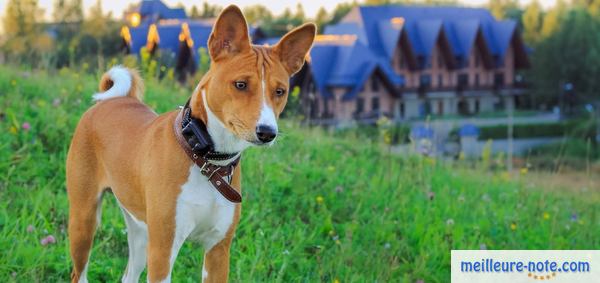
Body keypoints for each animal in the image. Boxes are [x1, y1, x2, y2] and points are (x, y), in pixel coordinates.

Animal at [67, 5, 314, 282]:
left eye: (280, 91)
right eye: (240, 84)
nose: (267, 132)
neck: (206, 161)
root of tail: (115, 99)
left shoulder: (218, 250)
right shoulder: (163, 250)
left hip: (140, 231)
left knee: (129, 274)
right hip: (84, 220)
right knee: (79, 272)